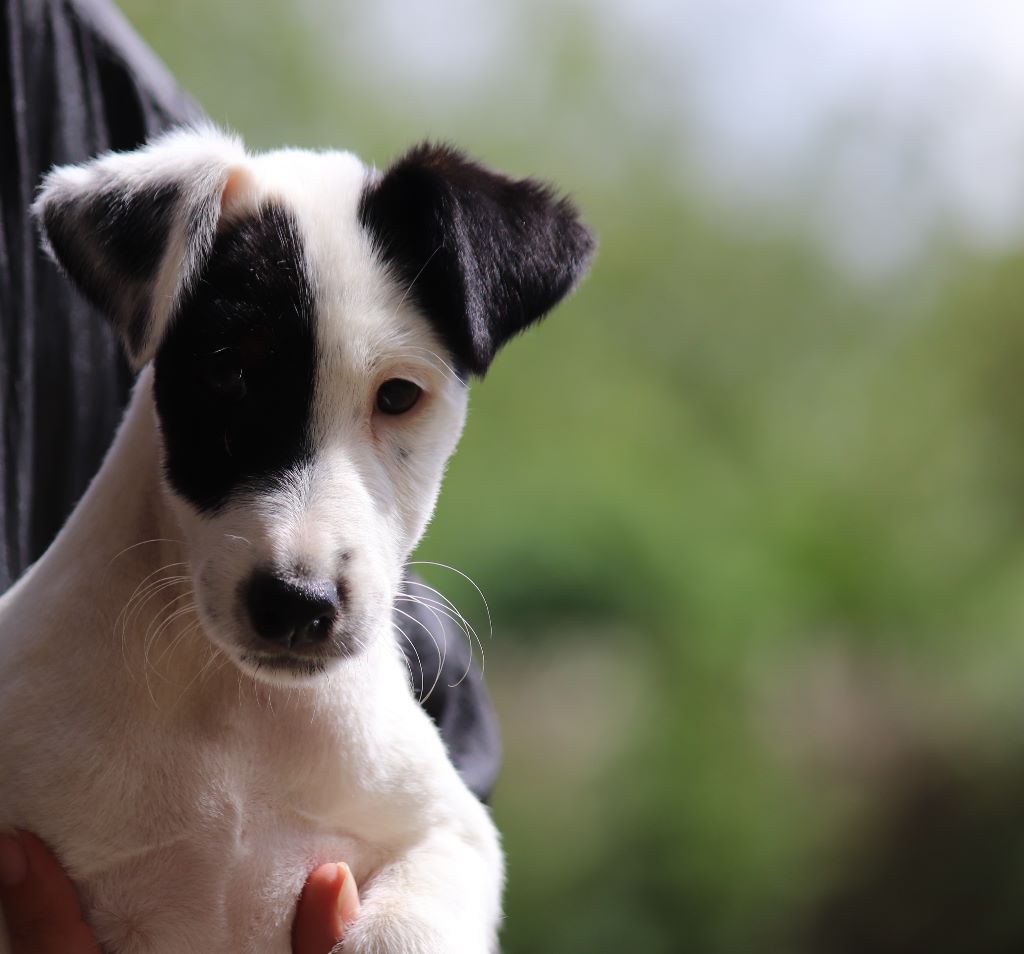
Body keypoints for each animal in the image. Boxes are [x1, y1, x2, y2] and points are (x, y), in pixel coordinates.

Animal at [0, 128, 593, 953]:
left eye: (399, 395)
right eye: (226, 372)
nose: (296, 606)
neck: (233, 711)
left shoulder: (447, 832)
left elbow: (406, 926)